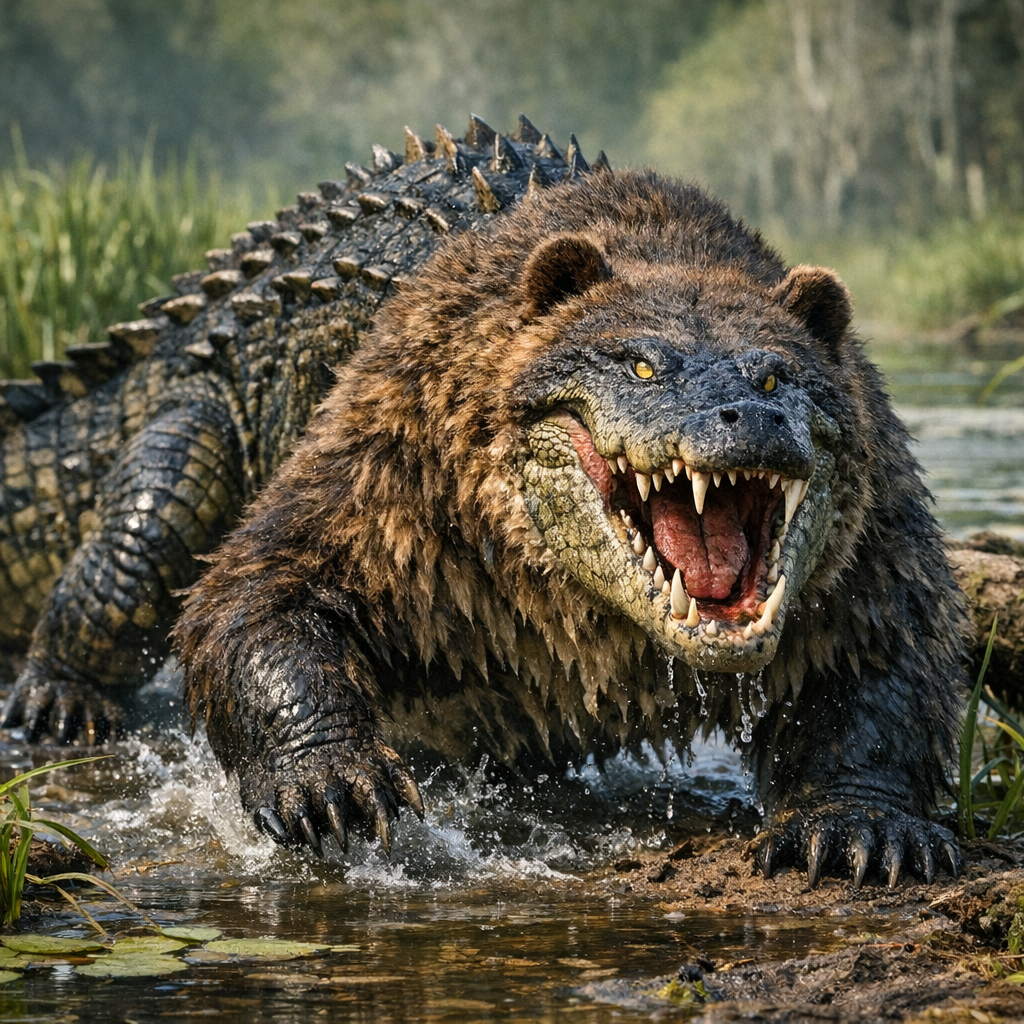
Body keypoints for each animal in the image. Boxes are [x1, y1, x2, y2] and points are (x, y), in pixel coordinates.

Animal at [174, 169, 968, 887]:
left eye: (774, 376)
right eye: (642, 363)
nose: (751, 419)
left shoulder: (875, 535)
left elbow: (891, 661)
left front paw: (862, 823)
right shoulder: (384, 461)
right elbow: (255, 591)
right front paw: (329, 778)